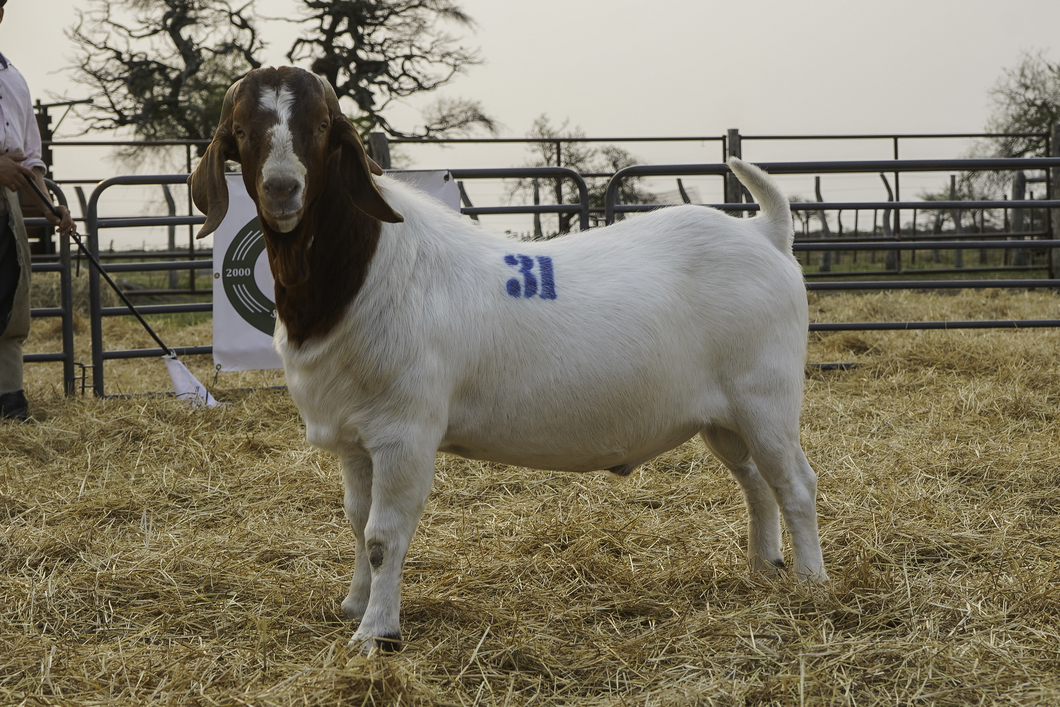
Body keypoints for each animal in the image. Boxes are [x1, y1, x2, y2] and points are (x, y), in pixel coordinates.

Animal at [192, 67, 835, 657]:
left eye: (323, 126)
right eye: (241, 130)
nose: (281, 189)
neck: (366, 270)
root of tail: (767, 233)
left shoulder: (404, 432)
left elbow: (383, 534)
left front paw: (376, 633)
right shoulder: (354, 439)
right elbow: (355, 520)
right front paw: (353, 603)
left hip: (767, 397)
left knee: (795, 481)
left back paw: (810, 581)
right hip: (722, 416)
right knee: (754, 480)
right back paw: (763, 565)